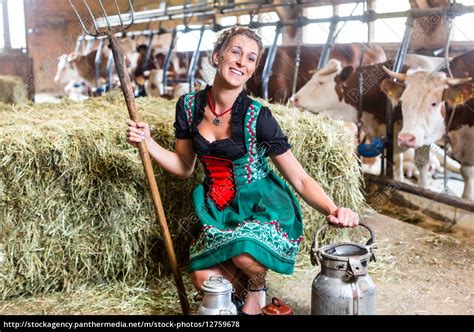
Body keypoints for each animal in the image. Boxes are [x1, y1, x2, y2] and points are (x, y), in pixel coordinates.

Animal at [382, 50, 474, 200]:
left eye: (434, 103)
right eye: (402, 101)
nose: (406, 138)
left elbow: (467, 172)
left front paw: (467, 198)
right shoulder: (423, 136)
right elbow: (421, 163)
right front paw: (424, 188)